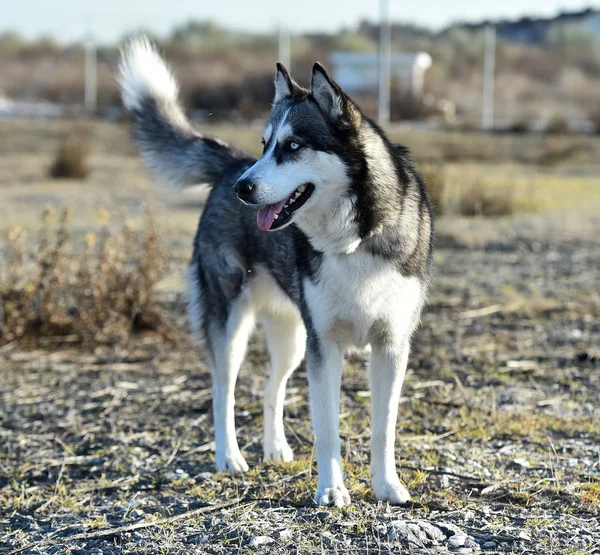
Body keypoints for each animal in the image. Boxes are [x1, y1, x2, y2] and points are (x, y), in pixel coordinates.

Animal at [119, 40, 434, 508]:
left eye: (293, 146)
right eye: (267, 144)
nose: (243, 188)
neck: (355, 238)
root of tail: (231, 163)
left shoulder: (391, 347)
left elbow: (384, 428)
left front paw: (387, 486)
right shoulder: (326, 347)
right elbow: (327, 430)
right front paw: (331, 490)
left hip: (293, 338)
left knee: (273, 386)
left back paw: (275, 448)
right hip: (233, 326)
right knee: (223, 391)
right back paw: (229, 457)